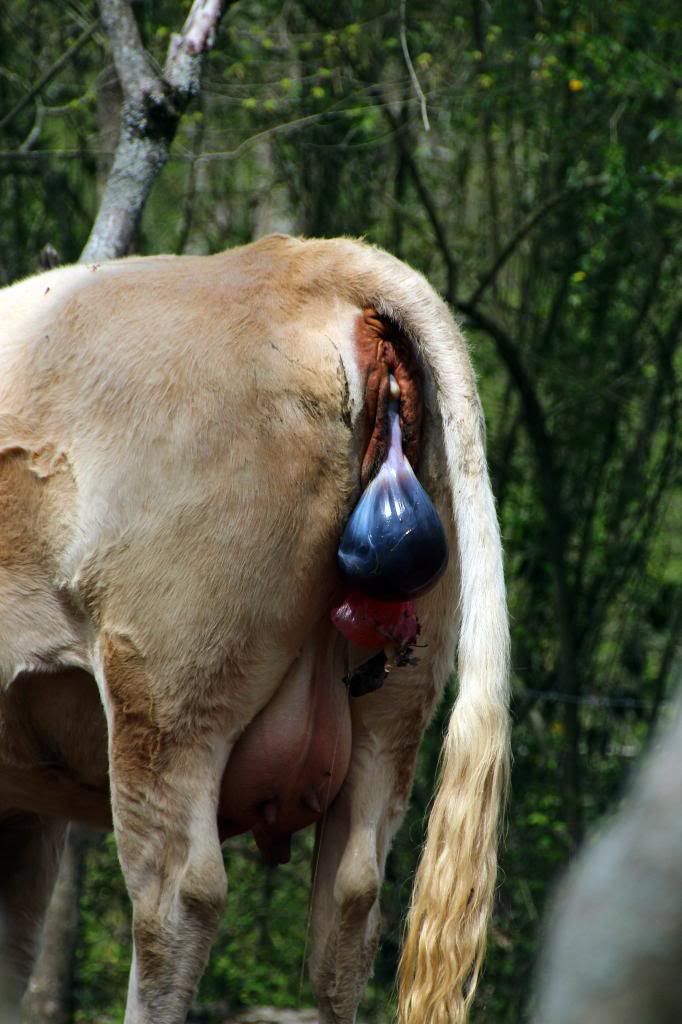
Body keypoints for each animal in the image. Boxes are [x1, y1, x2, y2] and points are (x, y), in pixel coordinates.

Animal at [0, 234, 510, 1024]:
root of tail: (308, 260)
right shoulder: (26, 806)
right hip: (395, 708)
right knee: (350, 903)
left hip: (166, 689)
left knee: (178, 897)